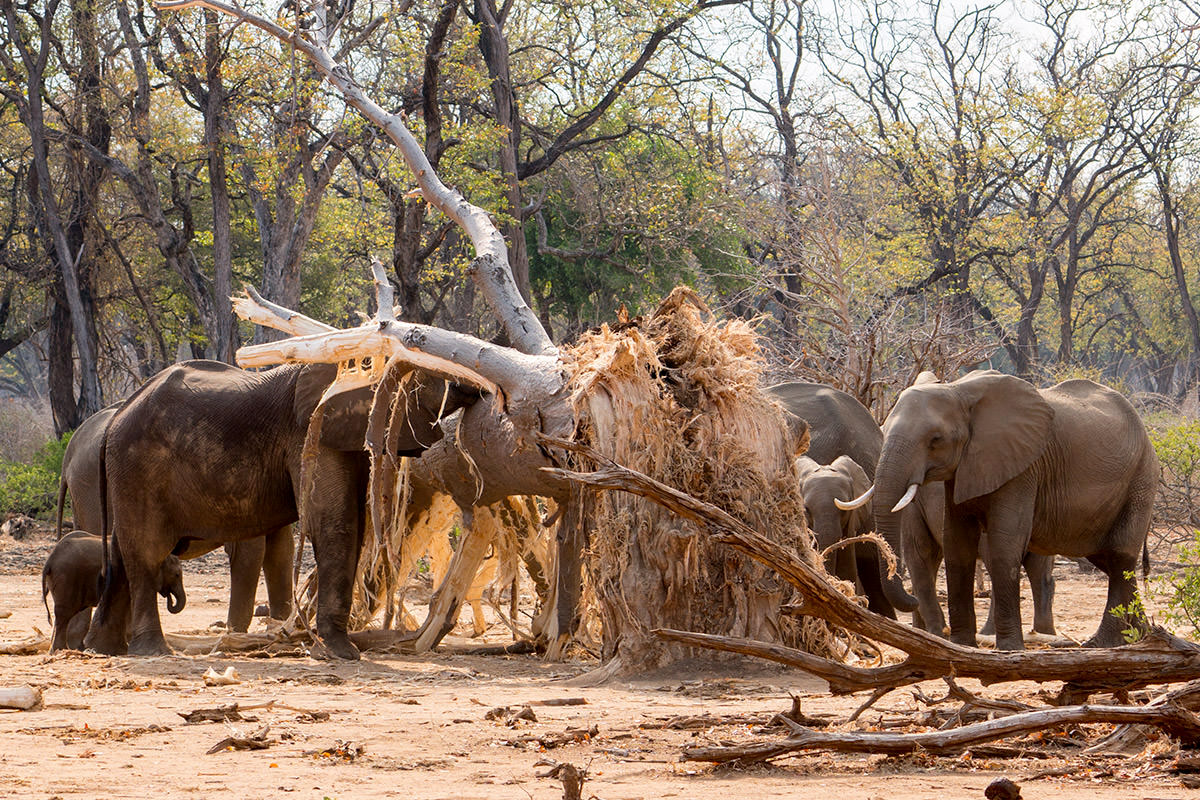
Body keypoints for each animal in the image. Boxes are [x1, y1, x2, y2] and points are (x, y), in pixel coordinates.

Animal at [41, 532, 184, 652]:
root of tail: (49, 561)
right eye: (177, 575)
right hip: (67, 578)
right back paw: (59, 650)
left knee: (61, 615)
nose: (169, 596)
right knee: (63, 615)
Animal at [57, 407, 296, 633]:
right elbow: (250, 550)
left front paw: (279, 626)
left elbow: (281, 549)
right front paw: (236, 632)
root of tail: (69, 453)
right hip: (94, 489)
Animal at [82, 359, 484, 662]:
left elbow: (352, 524)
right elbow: (334, 523)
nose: (478, 388)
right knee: (146, 553)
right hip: (138, 469)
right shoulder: (308, 433)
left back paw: (103, 649)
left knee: (120, 553)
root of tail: (115, 417)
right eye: (428, 375)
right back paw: (153, 652)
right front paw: (343, 654)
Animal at [868, 371, 1156, 652]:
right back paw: (1141, 636)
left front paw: (1008, 649)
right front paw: (961, 646)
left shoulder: (1023, 468)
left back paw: (1104, 643)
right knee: (1110, 561)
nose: (910, 599)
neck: (958, 390)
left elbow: (1004, 545)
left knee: (1120, 557)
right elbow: (957, 544)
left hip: (1140, 480)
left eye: (935, 440)